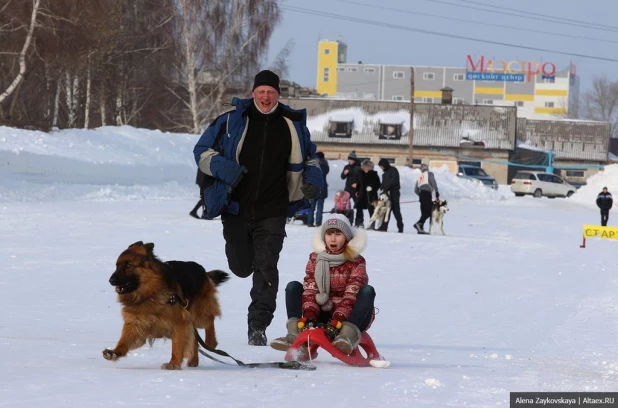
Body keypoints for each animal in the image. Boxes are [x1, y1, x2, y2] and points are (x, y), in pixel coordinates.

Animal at [103, 241, 229, 372]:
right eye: (117, 266)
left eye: (128, 266)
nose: (111, 281)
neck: (150, 293)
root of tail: (201, 269)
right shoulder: (136, 324)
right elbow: (124, 341)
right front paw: (114, 352)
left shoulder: (179, 323)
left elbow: (177, 346)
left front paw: (173, 363)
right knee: (195, 339)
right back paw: (194, 360)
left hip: (198, 313)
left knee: (209, 320)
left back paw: (210, 342)